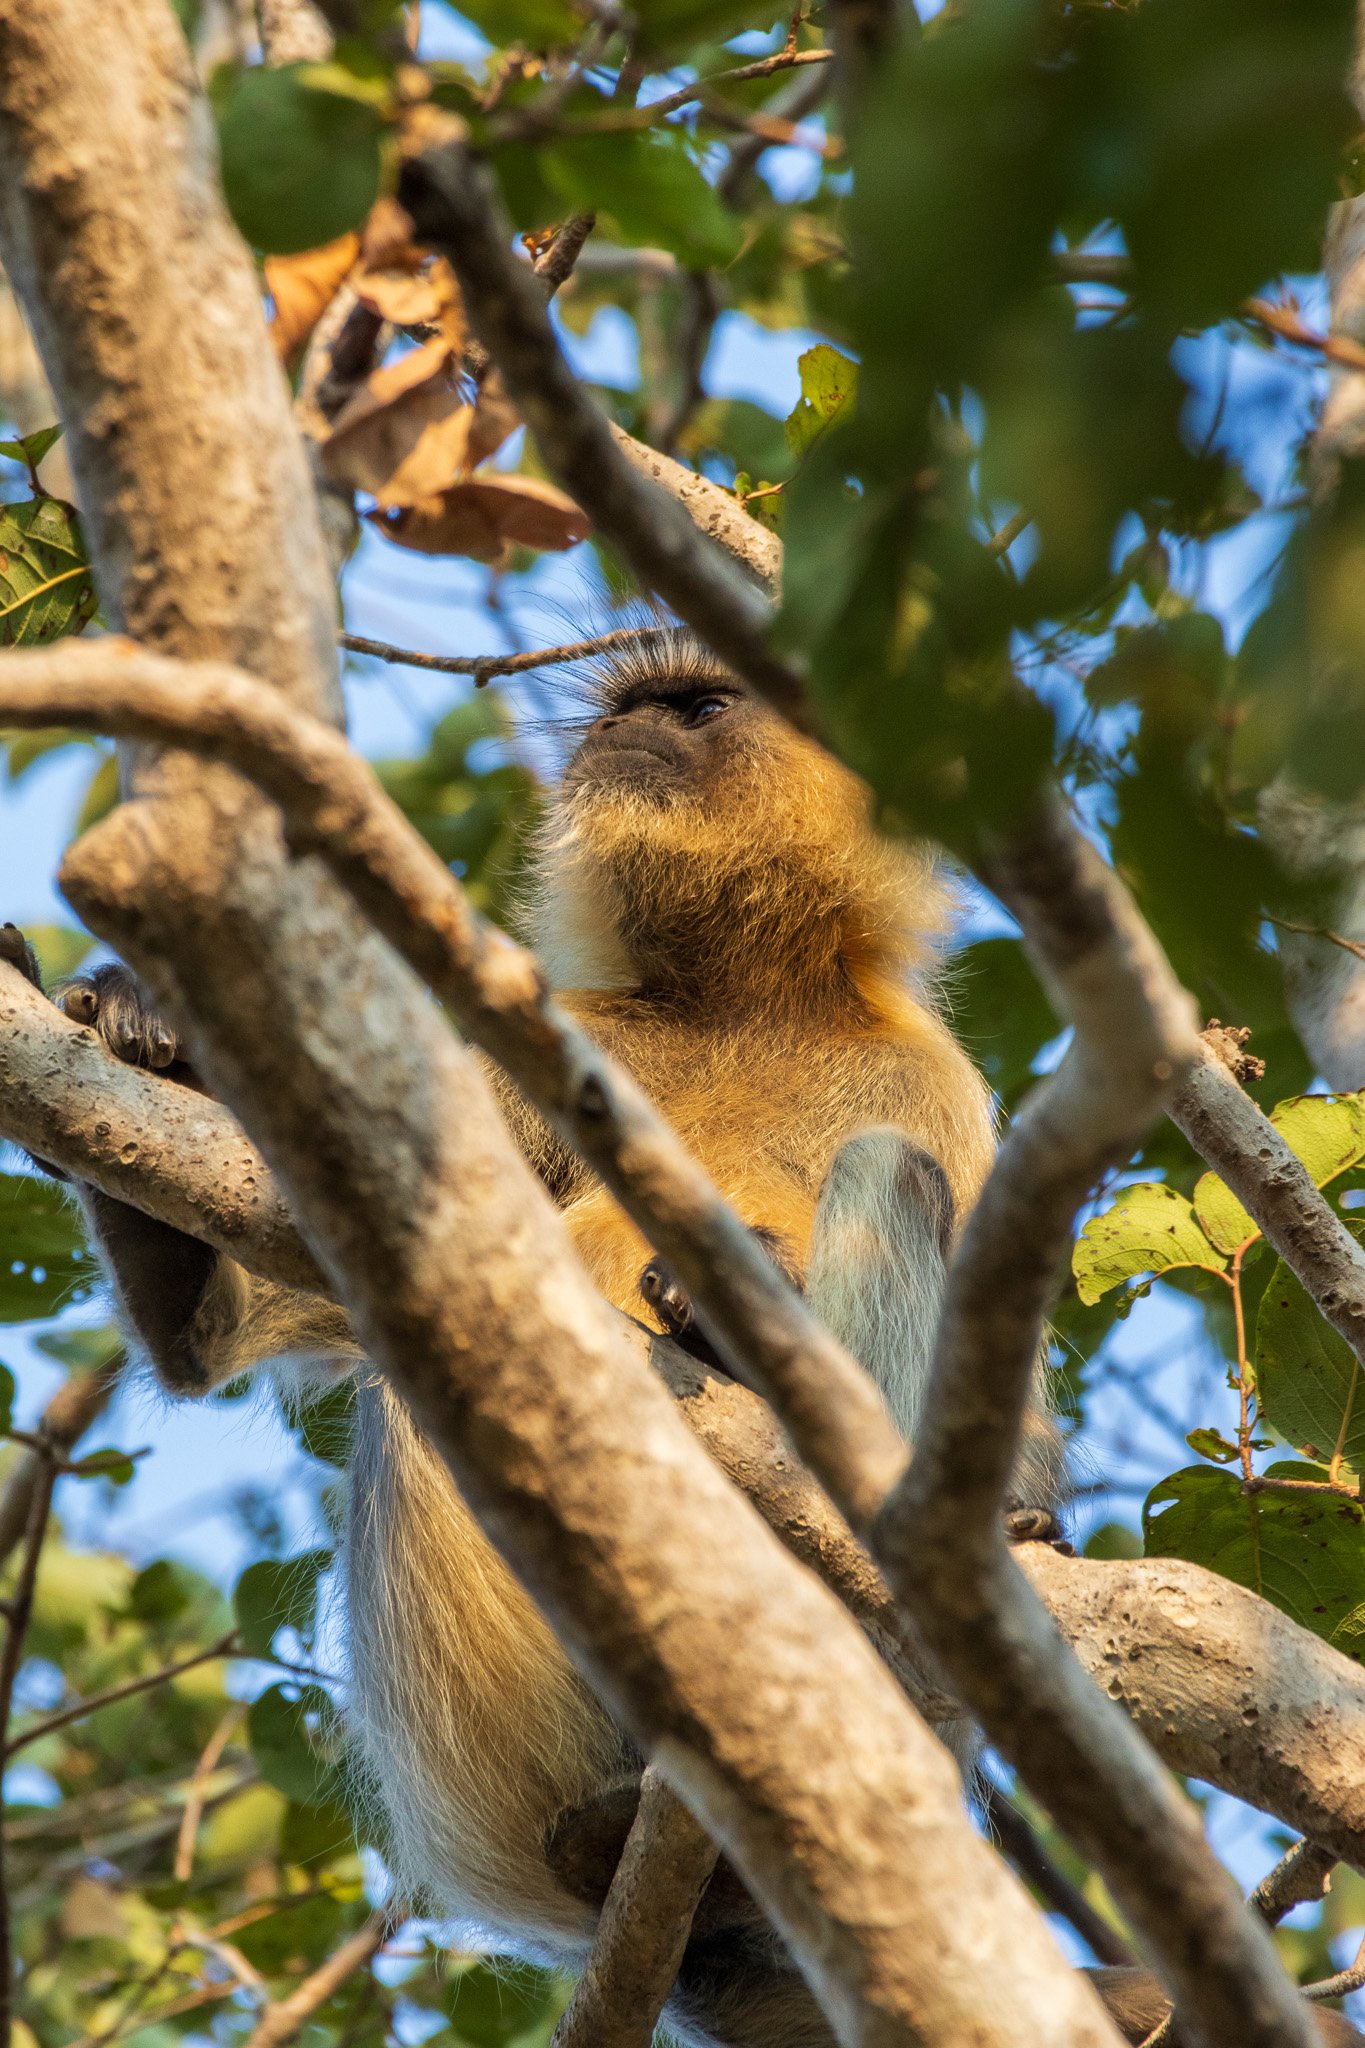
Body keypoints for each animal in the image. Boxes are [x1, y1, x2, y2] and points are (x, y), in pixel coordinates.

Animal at [2, 634, 1064, 2048]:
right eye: (633, 711)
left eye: (697, 708)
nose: (616, 733)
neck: (741, 1001)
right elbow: (217, 1338)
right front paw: (141, 1025)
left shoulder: (932, 1072)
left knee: (893, 1174)